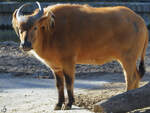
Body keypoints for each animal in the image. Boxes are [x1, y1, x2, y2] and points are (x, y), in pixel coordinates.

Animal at [12, 1, 148, 110]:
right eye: (20, 29)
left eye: (35, 27)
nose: (25, 44)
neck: (51, 32)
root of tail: (140, 21)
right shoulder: (55, 67)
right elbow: (59, 84)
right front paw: (58, 104)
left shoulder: (68, 62)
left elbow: (69, 82)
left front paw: (68, 104)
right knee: (136, 76)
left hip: (128, 58)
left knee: (131, 78)